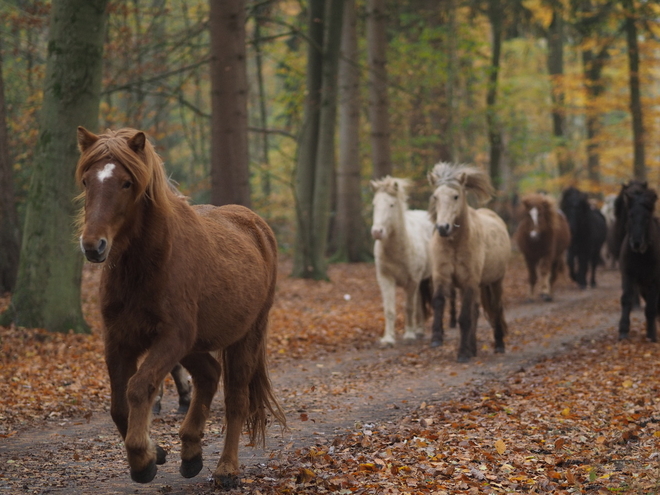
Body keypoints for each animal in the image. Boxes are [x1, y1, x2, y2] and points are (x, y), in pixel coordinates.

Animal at [75, 127, 286, 488]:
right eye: (88, 180)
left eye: (126, 183)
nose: (93, 246)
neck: (148, 265)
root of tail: (257, 226)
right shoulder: (119, 340)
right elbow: (118, 405)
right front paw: (156, 451)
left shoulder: (172, 338)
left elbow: (138, 387)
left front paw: (142, 460)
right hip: (194, 344)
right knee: (209, 375)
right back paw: (190, 454)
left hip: (246, 336)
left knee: (236, 399)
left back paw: (226, 469)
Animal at [368, 177, 456, 344]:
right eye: (374, 204)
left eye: (391, 205)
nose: (377, 232)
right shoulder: (386, 279)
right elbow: (390, 309)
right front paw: (388, 339)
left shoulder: (412, 281)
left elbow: (409, 307)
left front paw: (408, 335)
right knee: (419, 302)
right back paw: (419, 330)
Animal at [426, 165, 512, 362]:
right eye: (435, 196)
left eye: (456, 196)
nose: (443, 228)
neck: (455, 243)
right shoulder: (441, 276)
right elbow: (439, 302)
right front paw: (436, 338)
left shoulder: (469, 280)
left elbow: (465, 317)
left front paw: (463, 353)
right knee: (476, 311)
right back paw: (473, 348)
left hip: (495, 281)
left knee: (496, 308)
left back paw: (499, 345)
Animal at [612, 181, 660, 340]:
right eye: (631, 215)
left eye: (647, 217)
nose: (636, 243)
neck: (641, 256)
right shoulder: (628, 274)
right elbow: (626, 299)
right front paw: (623, 331)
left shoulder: (654, 280)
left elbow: (651, 307)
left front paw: (651, 335)